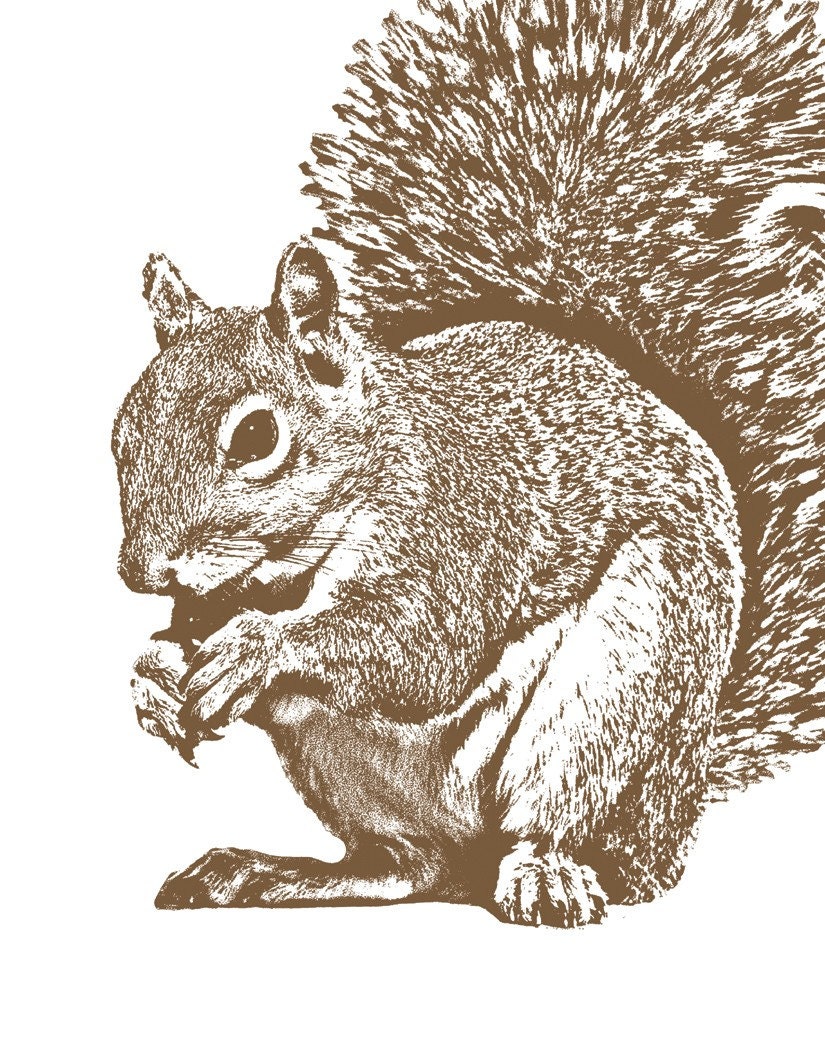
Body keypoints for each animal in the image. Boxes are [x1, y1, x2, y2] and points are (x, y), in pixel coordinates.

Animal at [113, 0, 824, 926]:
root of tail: (671, 813)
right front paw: (154, 676)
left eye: (257, 438)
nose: (140, 571)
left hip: (613, 692)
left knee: (549, 824)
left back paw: (544, 873)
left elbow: (417, 646)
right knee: (404, 866)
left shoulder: (460, 528)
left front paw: (255, 649)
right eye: (122, 432)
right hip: (343, 767)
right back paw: (263, 872)